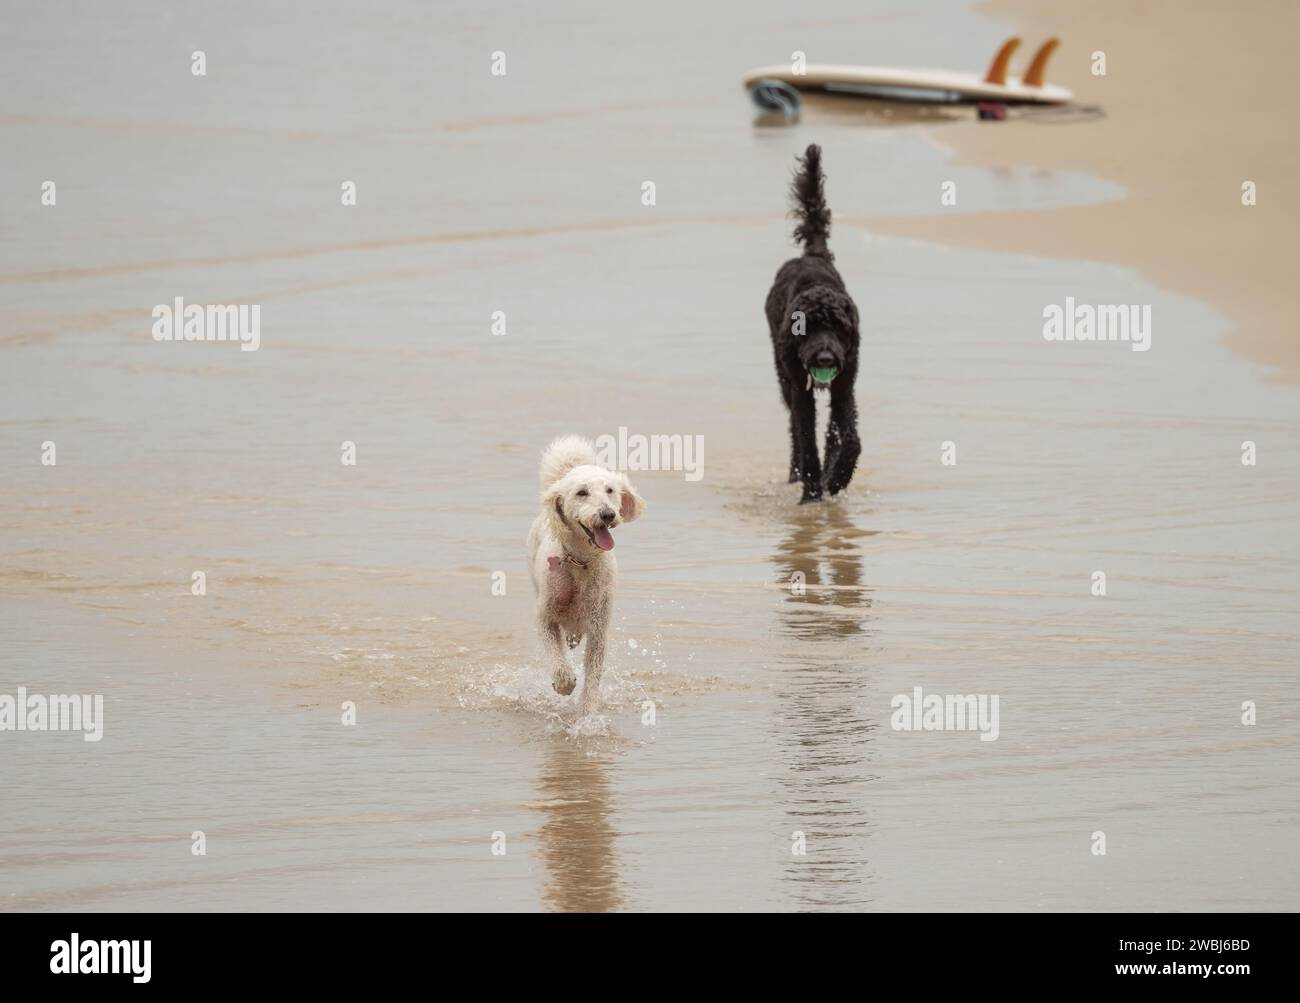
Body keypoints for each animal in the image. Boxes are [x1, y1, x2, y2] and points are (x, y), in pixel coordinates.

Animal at [527, 433, 644, 717]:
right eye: (582, 493)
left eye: (610, 490)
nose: (608, 514)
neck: (581, 562)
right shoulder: (544, 617)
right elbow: (556, 658)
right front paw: (564, 684)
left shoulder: (599, 628)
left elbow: (593, 674)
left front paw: (587, 712)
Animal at [764, 144, 857, 506]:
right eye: (808, 329)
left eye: (838, 328)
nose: (825, 358)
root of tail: (811, 255)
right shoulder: (799, 387)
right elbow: (806, 437)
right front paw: (812, 492)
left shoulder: (846, 383)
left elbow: (848, 436)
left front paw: (837, 477)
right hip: (784, 376)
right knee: (794, 430)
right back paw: (796, 475)